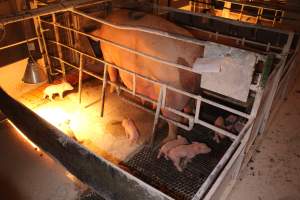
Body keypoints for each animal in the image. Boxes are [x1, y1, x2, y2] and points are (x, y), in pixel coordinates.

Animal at [92, 9, 204, 144]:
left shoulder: (108, 56)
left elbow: (112, 73)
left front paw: (112, 90)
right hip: (193, 92)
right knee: (188, 109)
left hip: (171, 94)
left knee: (174, 122)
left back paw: (166, 141)